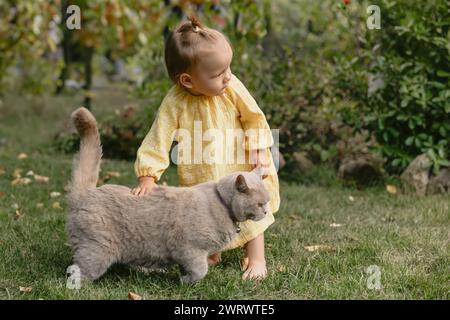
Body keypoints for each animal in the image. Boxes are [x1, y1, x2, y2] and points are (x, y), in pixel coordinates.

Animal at [66, 107, 270, 282]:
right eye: (260, 204)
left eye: (267, 202)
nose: (267, 212)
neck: (221, 204)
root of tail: (87, 192)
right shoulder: (189, 249)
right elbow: (200, 270)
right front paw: (186, 281)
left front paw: (182, 275)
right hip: (97, 251)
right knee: (78, 272)